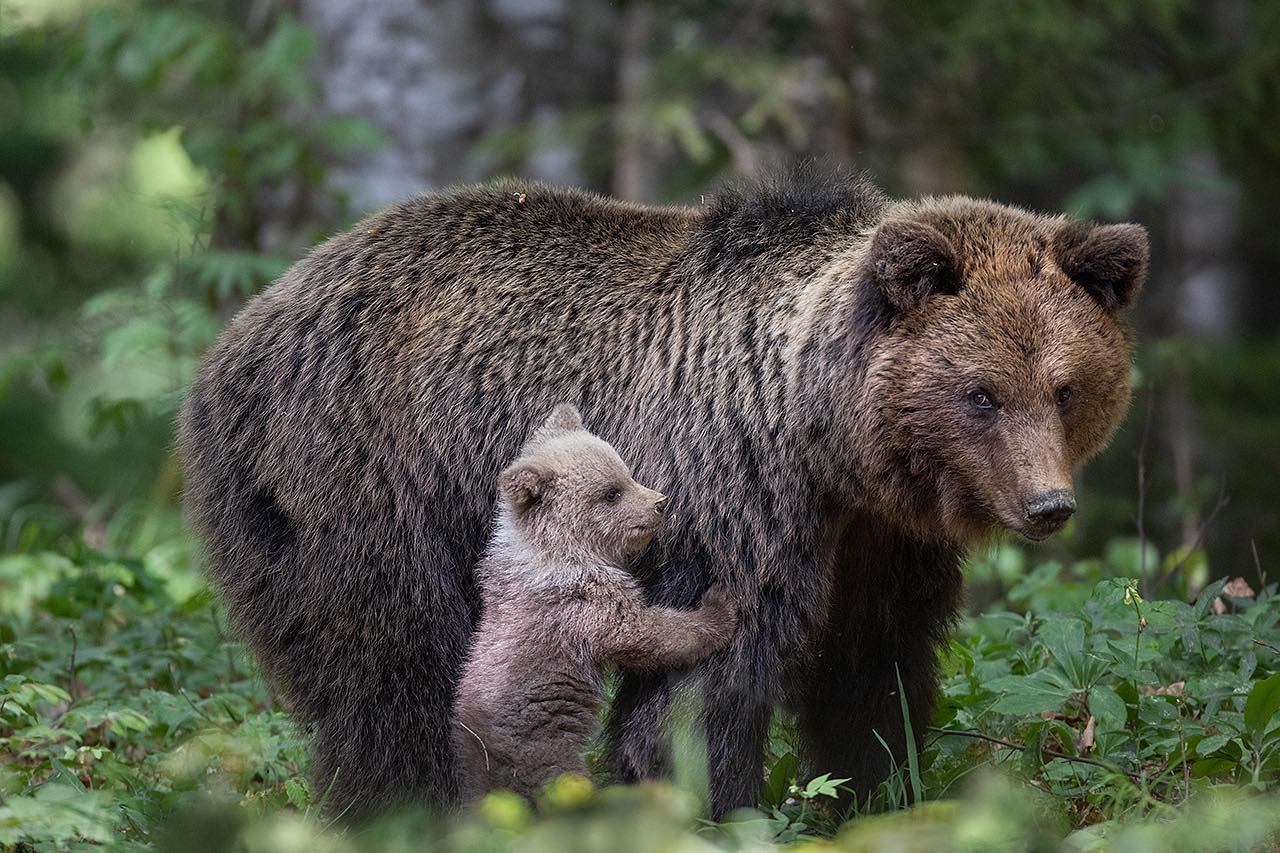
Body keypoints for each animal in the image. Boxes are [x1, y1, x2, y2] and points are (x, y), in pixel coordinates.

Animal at [175, 169, 1146, 814]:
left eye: (1065, 386)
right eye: (981, 392)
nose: (1048, 504)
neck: (827, 439)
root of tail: (238, 331)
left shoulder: (883, 545)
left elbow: (874, 674)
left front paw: (874, 796)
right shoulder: (730, 491)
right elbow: (701, 682)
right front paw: (716, 804)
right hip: (363, 481)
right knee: (393, 673)